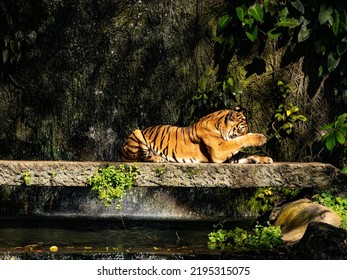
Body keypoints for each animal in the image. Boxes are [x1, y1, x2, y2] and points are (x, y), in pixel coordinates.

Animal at [121, 106, 274, 164]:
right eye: (242, 131)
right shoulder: (219, 150)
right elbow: (239, 141)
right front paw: (260, 138)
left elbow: (245, 155)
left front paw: (264, 159)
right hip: (137, 132)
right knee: (140, 158)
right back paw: (158, 159)